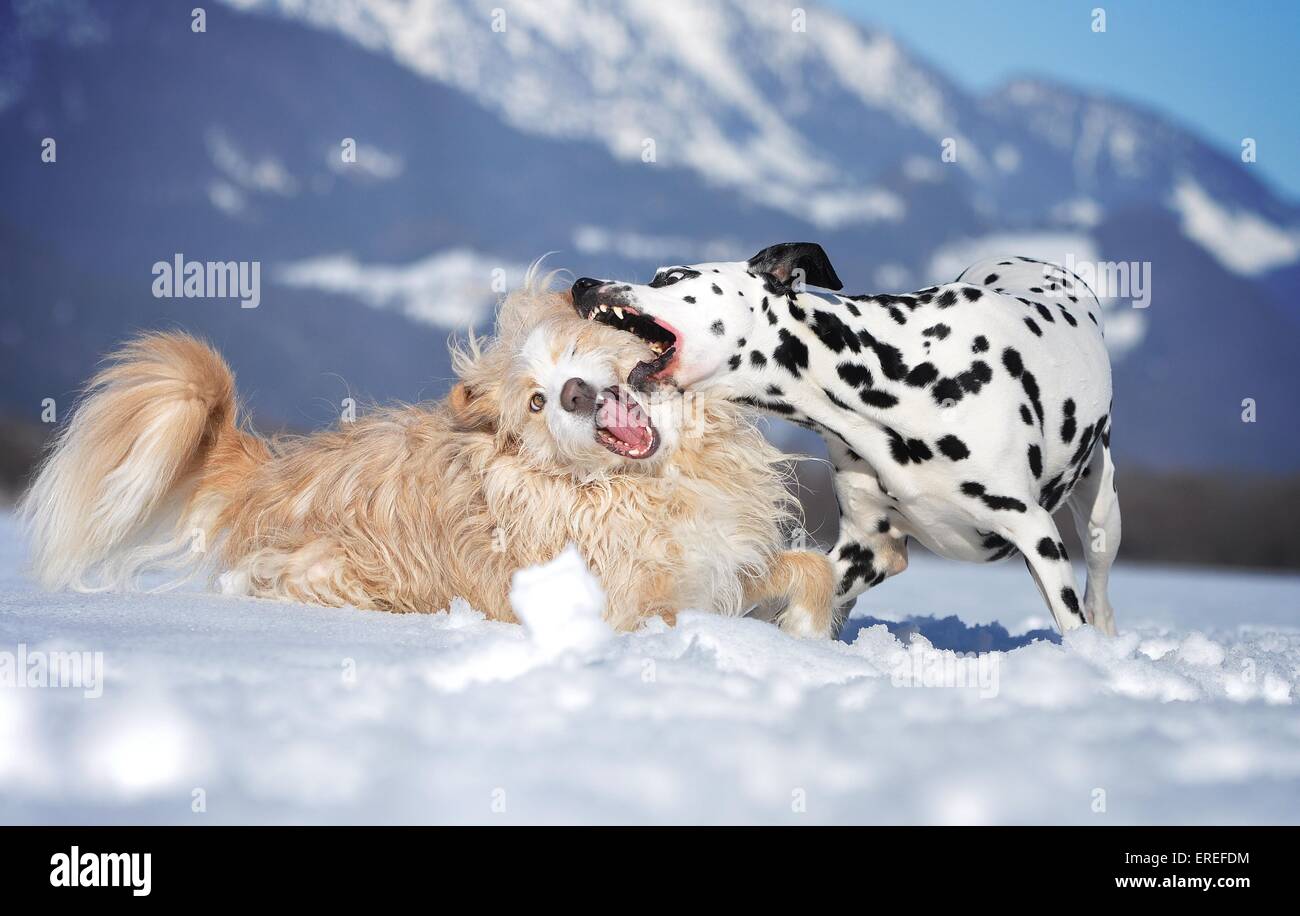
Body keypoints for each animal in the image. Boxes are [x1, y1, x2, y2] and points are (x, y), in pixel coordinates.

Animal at [22, 285, 832, 636]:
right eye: (534, 402)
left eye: (579, 348)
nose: (572, 392)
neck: (644, 482)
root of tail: (273, 468)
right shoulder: (635, 604)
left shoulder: (722, 557)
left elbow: (810, 570)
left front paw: (808, 635)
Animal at [574, 244, 1123, 636]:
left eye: (673, 277)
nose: (583, 283)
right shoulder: (869, 549)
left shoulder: (1036, 534)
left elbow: (1070, 622)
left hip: (1101, 515)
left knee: (1097, 595)